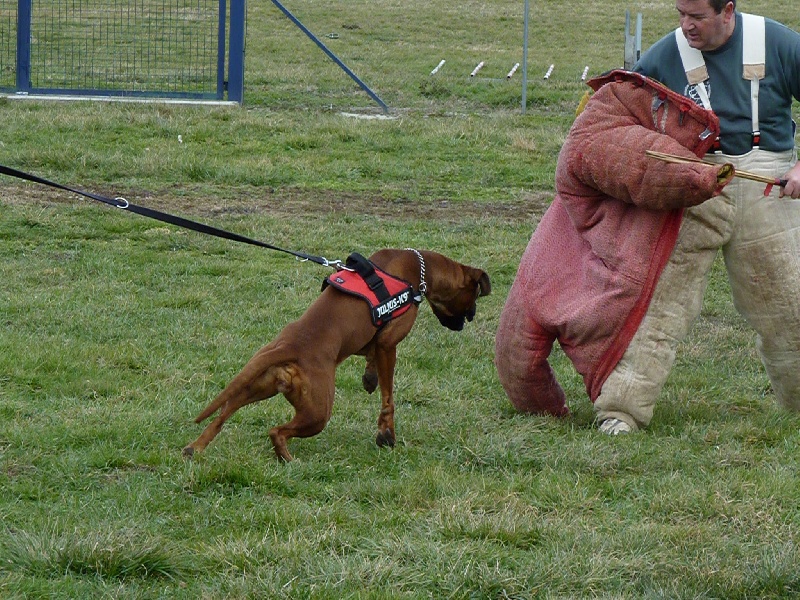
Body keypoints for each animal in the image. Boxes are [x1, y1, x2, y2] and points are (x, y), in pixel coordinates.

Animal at [184, 246, 490, 462]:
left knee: (222, 416)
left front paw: (369, 378)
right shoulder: (389, 344)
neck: (419, 268)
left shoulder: (373, 343)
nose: (471, 317)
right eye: (474, 297)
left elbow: (371, 361)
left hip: (257, 386)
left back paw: (195, 448)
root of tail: (288, 347)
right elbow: (388, 396)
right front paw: (386, 434)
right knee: (276, 431)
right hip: (318, 413)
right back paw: (288, 459)